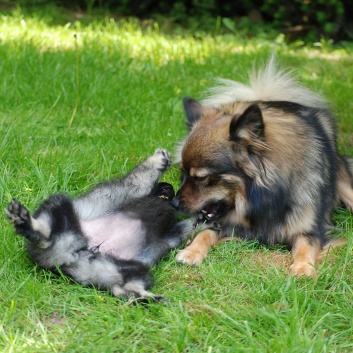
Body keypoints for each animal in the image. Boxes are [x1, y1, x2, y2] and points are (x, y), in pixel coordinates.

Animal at [6, 150, 192, 302]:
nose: (171, 190)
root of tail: (69, 255)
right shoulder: (133, 187)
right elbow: (144, 174)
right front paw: (159, 159)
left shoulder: (174, 232)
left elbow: (187, 226)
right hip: (59, 205)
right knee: (46, 234)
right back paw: (29, 224)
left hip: (119, 268)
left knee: (123, 289)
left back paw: (150, 298)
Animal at [173, 57, 352, 276]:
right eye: (182, 172)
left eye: (201, 178)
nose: (174, 203)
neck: (267, 198)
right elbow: (206, 233)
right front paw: (191, 251)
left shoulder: (309, 230)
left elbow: (305, 246)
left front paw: (302, 268)